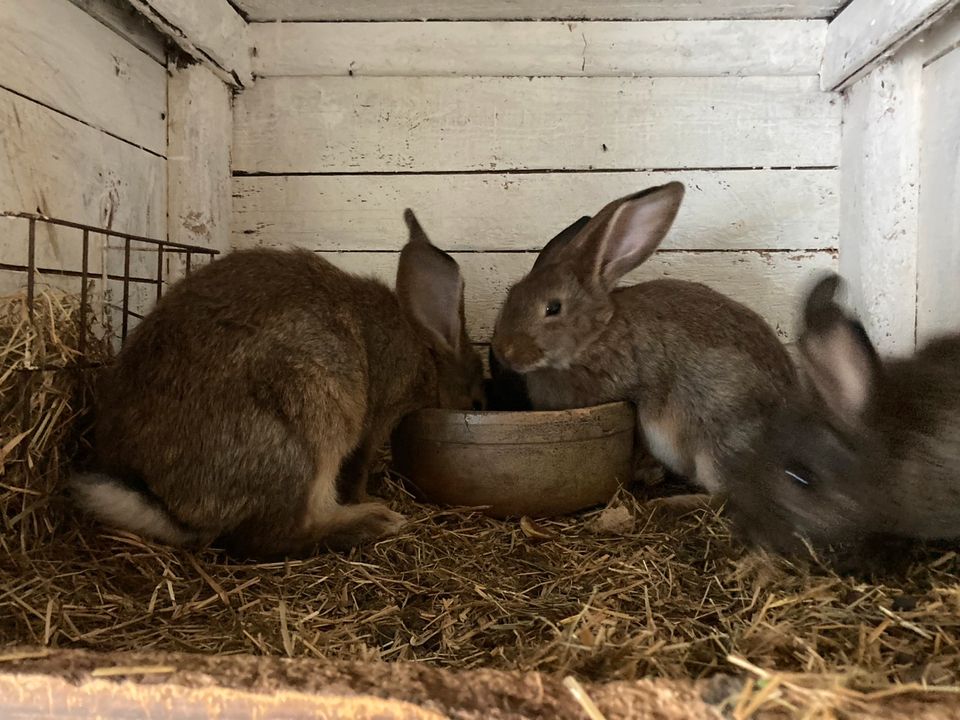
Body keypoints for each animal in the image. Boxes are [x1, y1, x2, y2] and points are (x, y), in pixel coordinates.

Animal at [71, 208, 484, 556]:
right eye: (478, 401)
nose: (481, 403)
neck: (425, 348)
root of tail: (168, 506)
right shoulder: (377, 418)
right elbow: (358, 466)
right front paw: (368, 498)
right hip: (310, 436)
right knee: (271, 536)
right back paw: (374, 522)